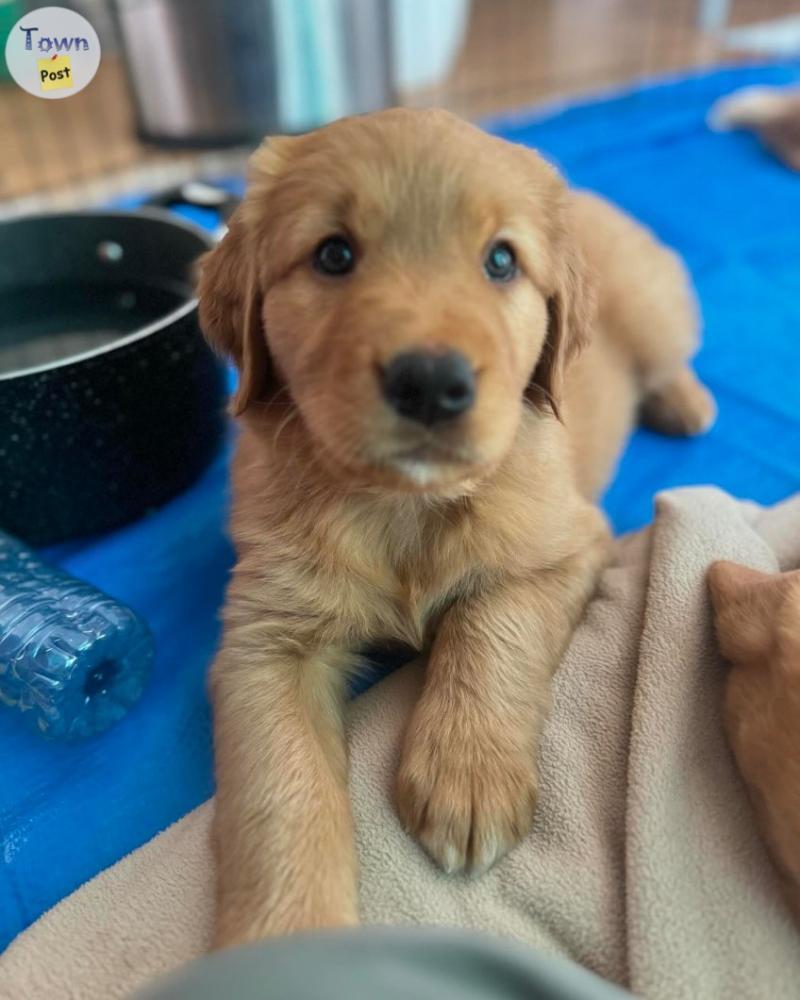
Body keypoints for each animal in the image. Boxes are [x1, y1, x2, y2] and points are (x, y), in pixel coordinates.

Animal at [197, 107, 716, 944]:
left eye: (501, 261)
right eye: (333, 254)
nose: (431, 383)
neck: (401, 506)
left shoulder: (566, 545)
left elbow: (492, 624)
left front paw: (468, 775)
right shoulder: (265, 637)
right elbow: (279, 791)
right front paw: (287, 938)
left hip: (655, 311)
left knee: (671, 357)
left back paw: (686, 403)